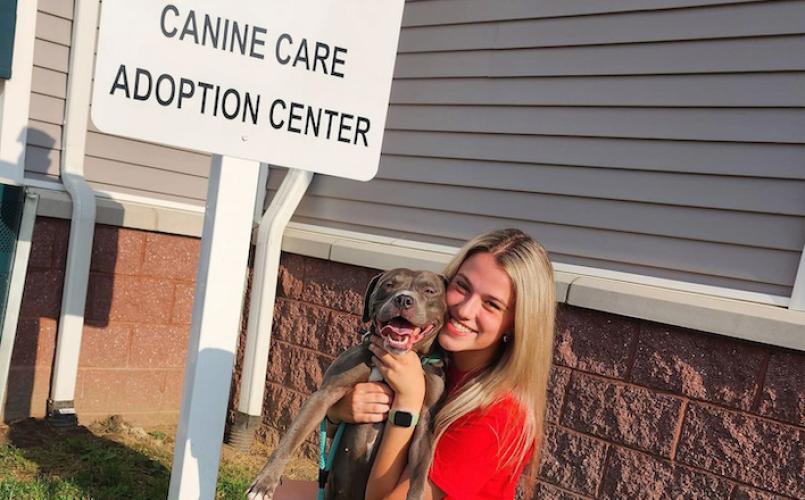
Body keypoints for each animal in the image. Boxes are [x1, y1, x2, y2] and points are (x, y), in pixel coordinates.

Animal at [247, 270, 446, 500]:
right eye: (388, 284)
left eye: (429, 290)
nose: (404, 299)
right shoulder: (324, 395)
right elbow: (292, 437)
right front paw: (265, 482)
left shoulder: (425, 420)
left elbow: (420, 471)